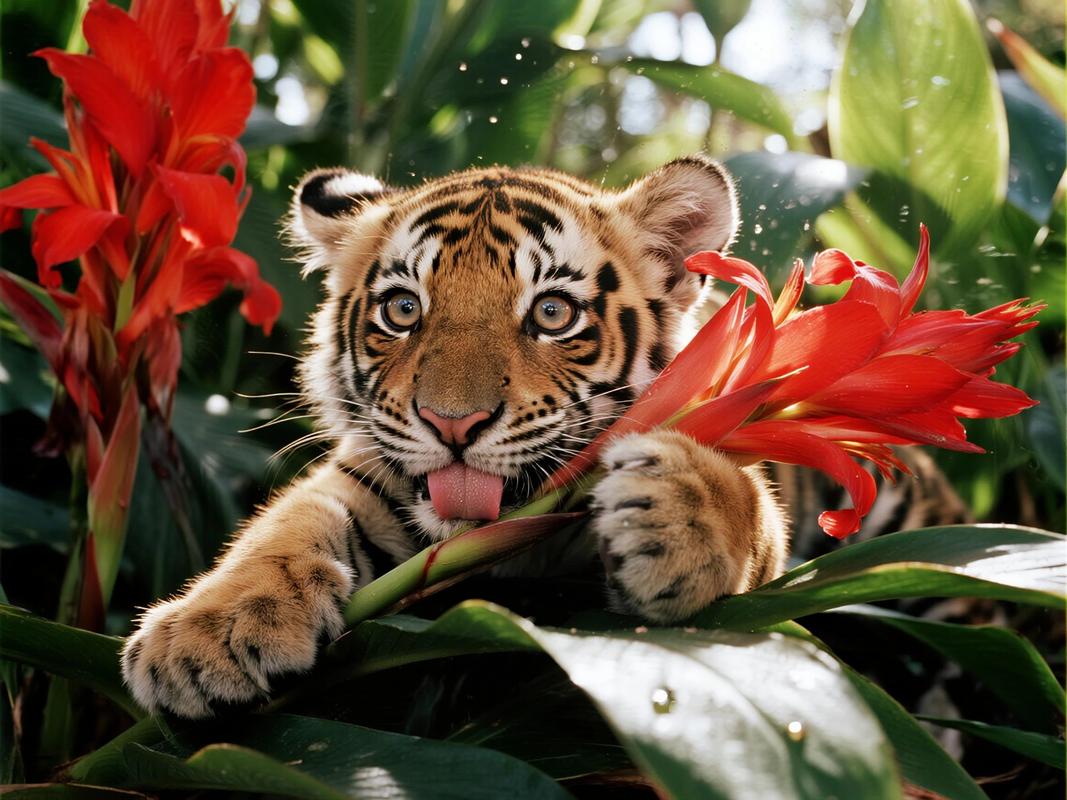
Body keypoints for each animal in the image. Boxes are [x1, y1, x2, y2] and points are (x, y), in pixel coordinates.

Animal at [121, 156, 821, 718]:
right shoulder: (359, 475)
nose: (452, 422)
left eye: (552, 313)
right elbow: (281, 525)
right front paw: (205, 634)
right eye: (403, 309)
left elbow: (749, 506)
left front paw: (676, 520)